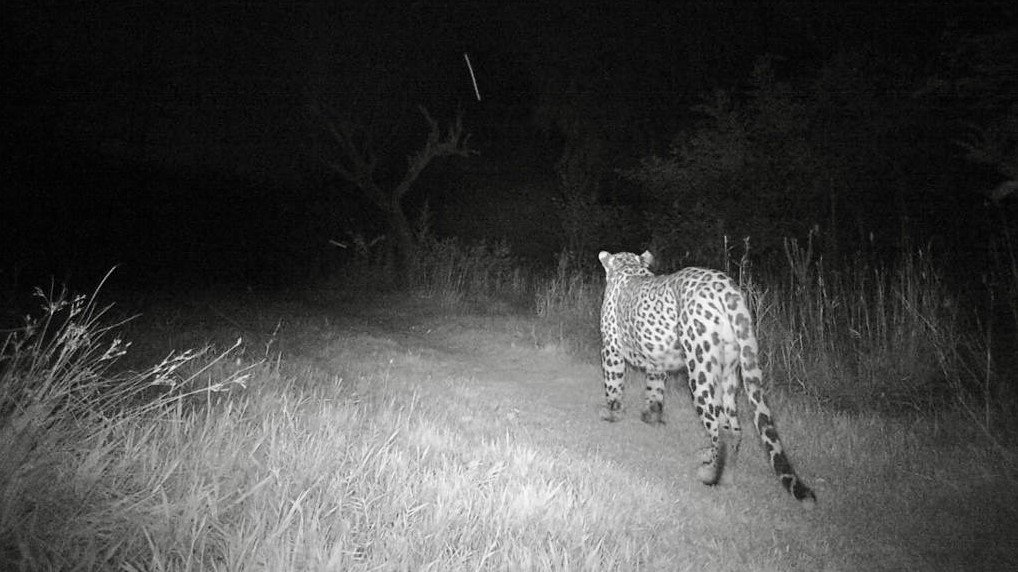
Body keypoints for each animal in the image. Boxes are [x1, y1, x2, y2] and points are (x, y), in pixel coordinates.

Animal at [598, 250, 815, 503]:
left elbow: (613, 385)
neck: (629, 268)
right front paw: (650, 417)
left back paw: (710, 471)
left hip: (700, 369)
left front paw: (611, 414)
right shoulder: (656, 359)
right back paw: (724, 470)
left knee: (717, 426)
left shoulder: (611, 348)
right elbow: (655, 392)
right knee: (733, 428)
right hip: (728, 372)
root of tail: (727, 289)